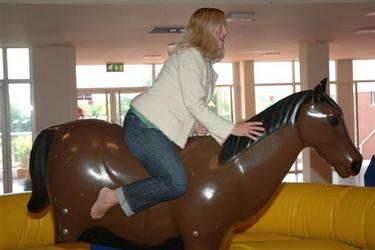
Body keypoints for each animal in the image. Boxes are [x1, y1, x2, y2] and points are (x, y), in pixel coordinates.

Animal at [27, 79, 362, 250]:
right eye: (333, 119)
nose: (356, 163)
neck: (232, 169)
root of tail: (58, 131)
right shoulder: (200, 236)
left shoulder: (221, 238)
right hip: (69, 225)